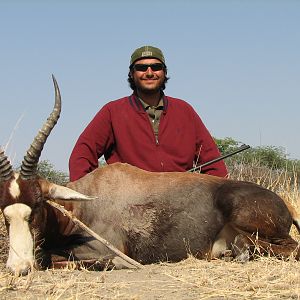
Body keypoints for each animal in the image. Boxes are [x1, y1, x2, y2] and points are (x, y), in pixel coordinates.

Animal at [0, 76, 298, 276]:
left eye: (37, 206)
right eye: (5, 214)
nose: (18, 268)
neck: (81, 208)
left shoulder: (104, 250)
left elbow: (52, 258)